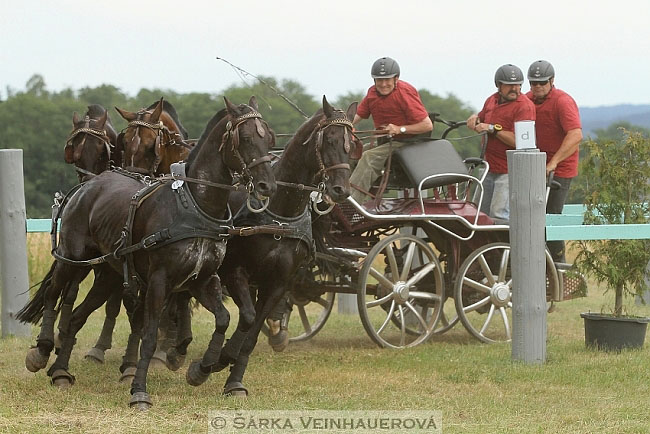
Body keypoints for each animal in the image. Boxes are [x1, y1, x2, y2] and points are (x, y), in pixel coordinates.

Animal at [17, 96, 276, 410]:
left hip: (108, 275)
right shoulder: (158, 281)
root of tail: (87, 186)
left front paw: (201, 369)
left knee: (78, 315)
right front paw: (139, 390)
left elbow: (224, 318)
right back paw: (42, 351)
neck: (195, 206)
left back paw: (60, 372)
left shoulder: (202, 280)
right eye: (246, 138)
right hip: (74, 259)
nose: (267, 185)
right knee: (54, 295)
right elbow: (149, 334)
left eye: (269, 137)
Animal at [181, 96, 354, 396]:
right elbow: (248, 317)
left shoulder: (279, 283)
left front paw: (234, 379)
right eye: (330, 139)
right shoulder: (235, 272)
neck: (280, 212)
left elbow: (251, 332)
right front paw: (213, 362)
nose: (341, 190)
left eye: (352, 144)